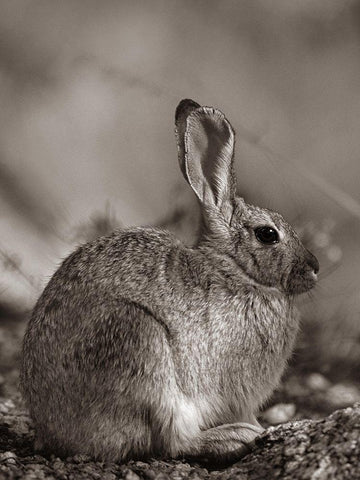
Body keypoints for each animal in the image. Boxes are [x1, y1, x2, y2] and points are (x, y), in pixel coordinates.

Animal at [20, 98, 318, 464]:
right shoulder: (234, 388)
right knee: (172, 442)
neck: (234, 270)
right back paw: (235, 437)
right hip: (140, 347)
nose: (314, 267)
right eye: (268, 234)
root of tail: (55, 434)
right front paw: (259, 428)